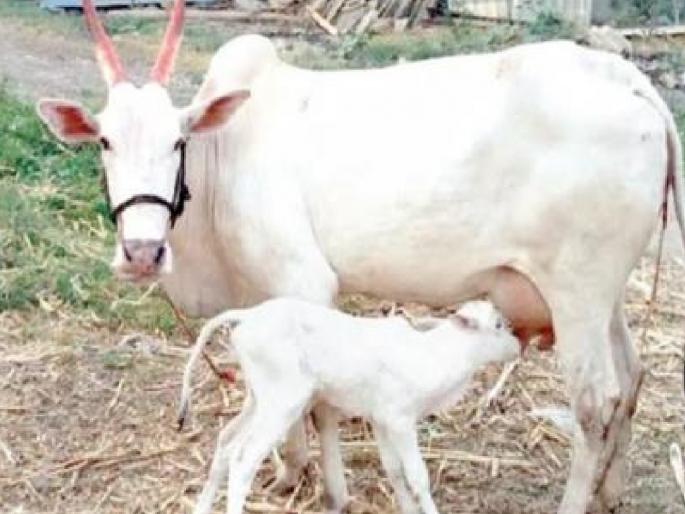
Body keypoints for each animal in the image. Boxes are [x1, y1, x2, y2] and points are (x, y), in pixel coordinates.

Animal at [35, 0, 685, 512]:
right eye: (104, 141)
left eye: (177, 142)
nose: (142, 253)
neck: (224, 152)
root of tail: (628, 79)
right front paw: (289, 470)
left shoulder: (305, 281)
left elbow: (319, 404)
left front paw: (325, 486)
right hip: (603, 298)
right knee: (632, 377)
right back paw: (610, 492)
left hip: (577, 292)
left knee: (595, 403)